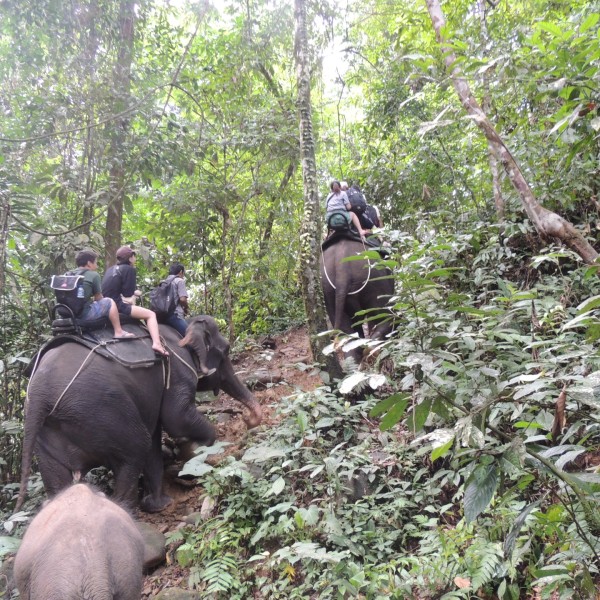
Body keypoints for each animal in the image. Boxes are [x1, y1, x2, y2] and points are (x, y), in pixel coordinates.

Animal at [14, 316, 260, 512]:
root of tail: (39, 393)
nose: (250, 419)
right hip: (101, 410)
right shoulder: (177, 367)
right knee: (135, 449)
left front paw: (159, 504)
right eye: (226, 349)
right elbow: (176, 419)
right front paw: (194, 451)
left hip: (49, 432)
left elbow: (155, 439)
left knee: (58, 479)